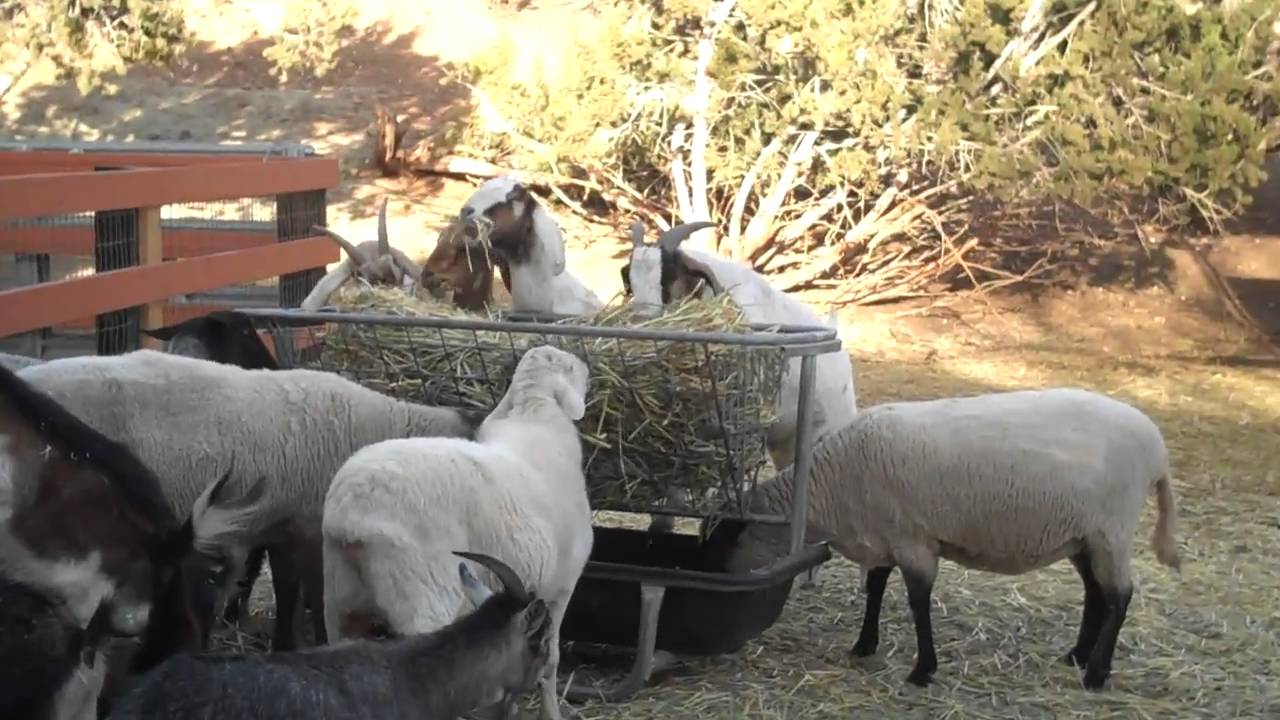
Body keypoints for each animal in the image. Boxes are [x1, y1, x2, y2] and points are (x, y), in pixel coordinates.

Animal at [322, 344, 594, 720]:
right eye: (569, 367)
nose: (588, 370)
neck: (535, 413)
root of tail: (349, 514)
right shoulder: (562, 584)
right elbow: (551, 662)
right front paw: (551, 713)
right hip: (423, 596)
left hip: (339, 601)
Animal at [705, 387, 1183, 691]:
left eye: (724, 542)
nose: (717, 582)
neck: (828, 486)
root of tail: (1159, 449)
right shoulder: (885, 536)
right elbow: (875, 588)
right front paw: (864, 645)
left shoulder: (914, 540)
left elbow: (918, 602)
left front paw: (922, 670)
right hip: (1082, 534)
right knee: (1095, 592)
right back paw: (1077, 656)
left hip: (1112, 528)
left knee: (1120, 595)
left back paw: (1096, 675)